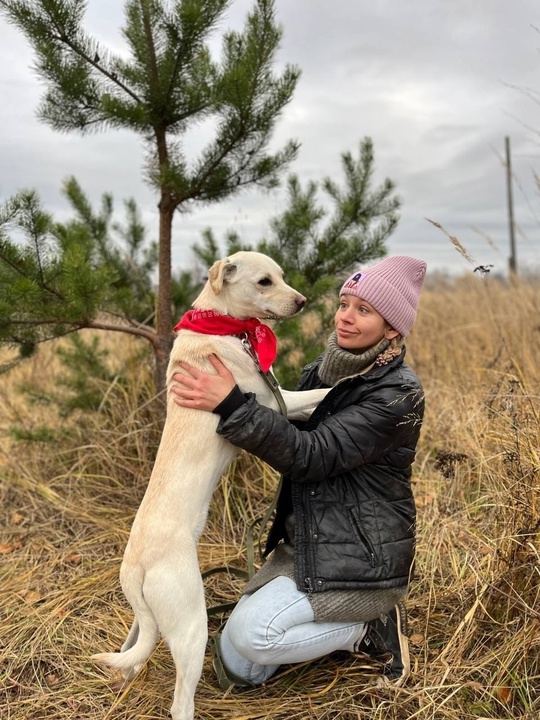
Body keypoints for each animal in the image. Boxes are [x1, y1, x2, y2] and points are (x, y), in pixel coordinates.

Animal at [93, 252, 330, 720]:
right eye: (264, 281)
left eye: (282, 276)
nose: (302, 301)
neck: (221, 325)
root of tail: (137, 566)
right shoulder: (272, 402)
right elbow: (324, 392)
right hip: (191, 627)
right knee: (180, 703)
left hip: (144, 621)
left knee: (132, 652)